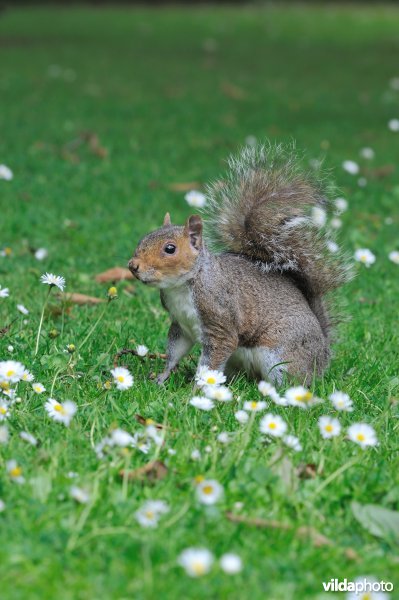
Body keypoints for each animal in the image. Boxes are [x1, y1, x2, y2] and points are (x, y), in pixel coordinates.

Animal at [128, 144, 350, 384]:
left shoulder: (220, 323)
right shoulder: (181, 326)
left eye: (170, 249)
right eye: (144, 238)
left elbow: (210, 364)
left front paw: (197, 389)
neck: (182, 286)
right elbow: (174, 351)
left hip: (283, 357)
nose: (133, 266)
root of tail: (323, 354)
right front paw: (161, 378)